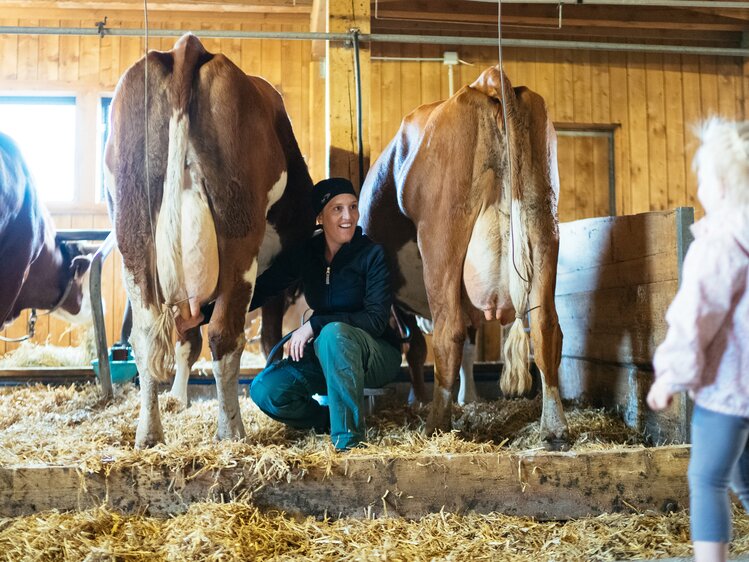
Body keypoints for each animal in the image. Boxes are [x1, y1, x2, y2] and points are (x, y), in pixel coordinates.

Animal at [103, 34, 314, 446]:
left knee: (147, 336)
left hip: (132, 235)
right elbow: (268, 338)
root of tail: (187, 47)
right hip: (239, 240)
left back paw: (149, 433)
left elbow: (186, 341)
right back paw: (231, 429)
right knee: (224, 335)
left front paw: (178, 398)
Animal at [358, 64, 568, 442]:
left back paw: (436, 421)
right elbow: (470, 346)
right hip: (544, 224)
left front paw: (420, 399)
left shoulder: (400, 300)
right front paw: (468, 398)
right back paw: (554, 427)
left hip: (441, 239)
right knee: (546, 325)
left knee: (447, 333)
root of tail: (486, 81)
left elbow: (418, 348)